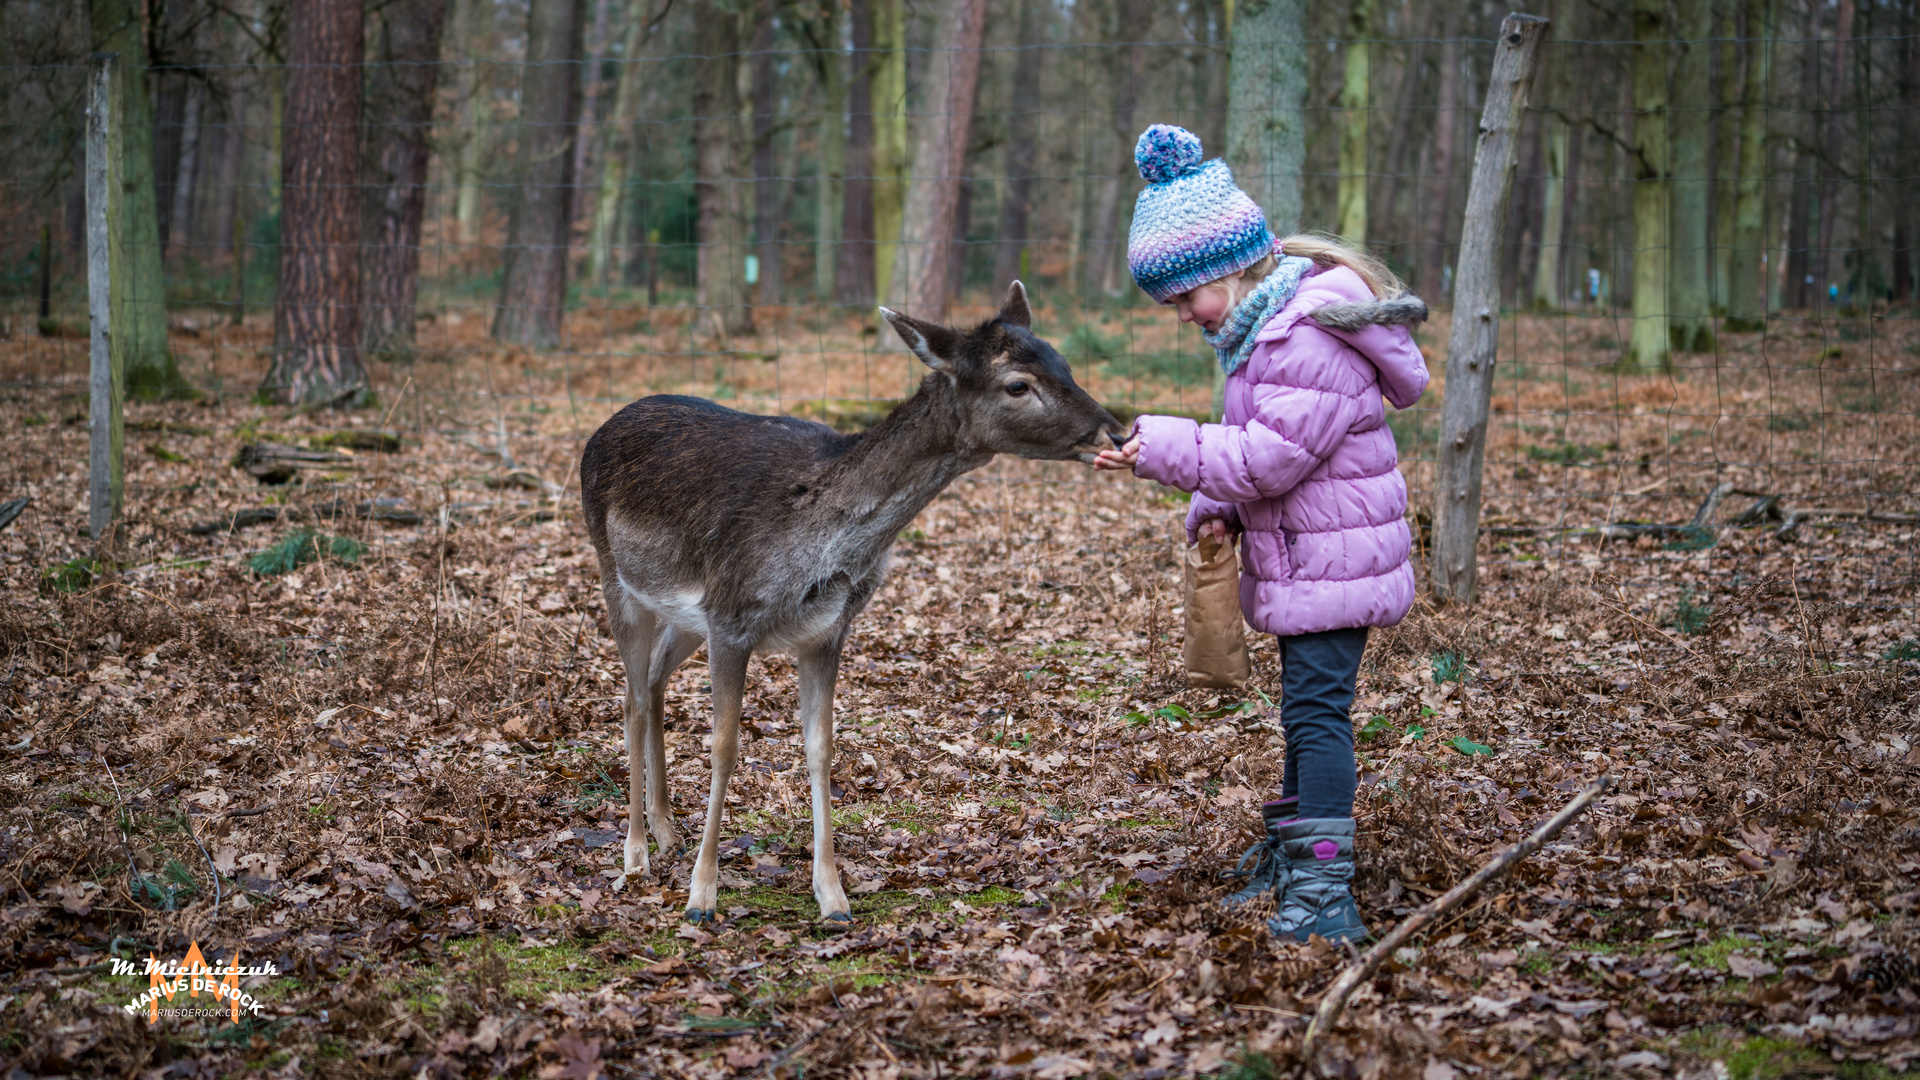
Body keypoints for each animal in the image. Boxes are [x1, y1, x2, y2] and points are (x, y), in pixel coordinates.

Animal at [579, 282, 1121, 922]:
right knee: (633, 698)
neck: (825, 545)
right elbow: (725, 746)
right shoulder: (733, 616)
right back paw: (636, 853)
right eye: (1018, 384)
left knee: (655, 681)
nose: (1114, 432)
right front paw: (702, 895)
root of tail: (602, 427)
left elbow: (820, 747)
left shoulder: (825, 630)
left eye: (1064, 362)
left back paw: (666, 829)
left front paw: (833, 896)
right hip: (616, 575)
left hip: (685, 615)